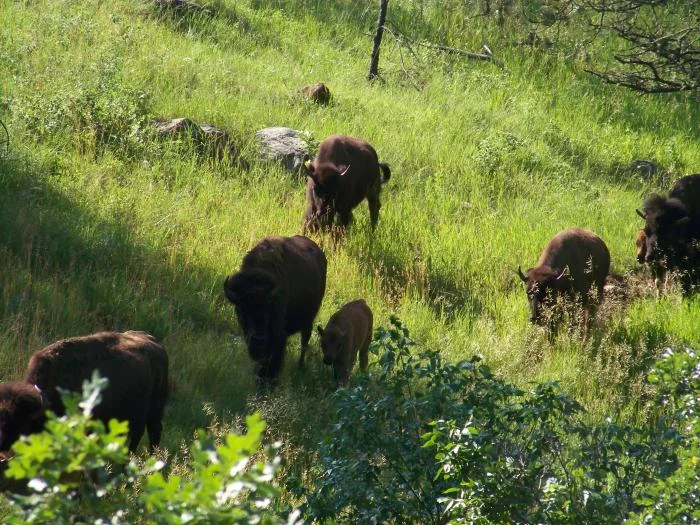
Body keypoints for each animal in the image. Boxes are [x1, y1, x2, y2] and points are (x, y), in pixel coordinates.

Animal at [224, 235, 328, 382]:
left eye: (268, 308)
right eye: (242, 308)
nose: (259, 338)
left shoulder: (278, 335)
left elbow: (274, 358)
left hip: (309, 320)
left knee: (305, 340)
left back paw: (301, 366)